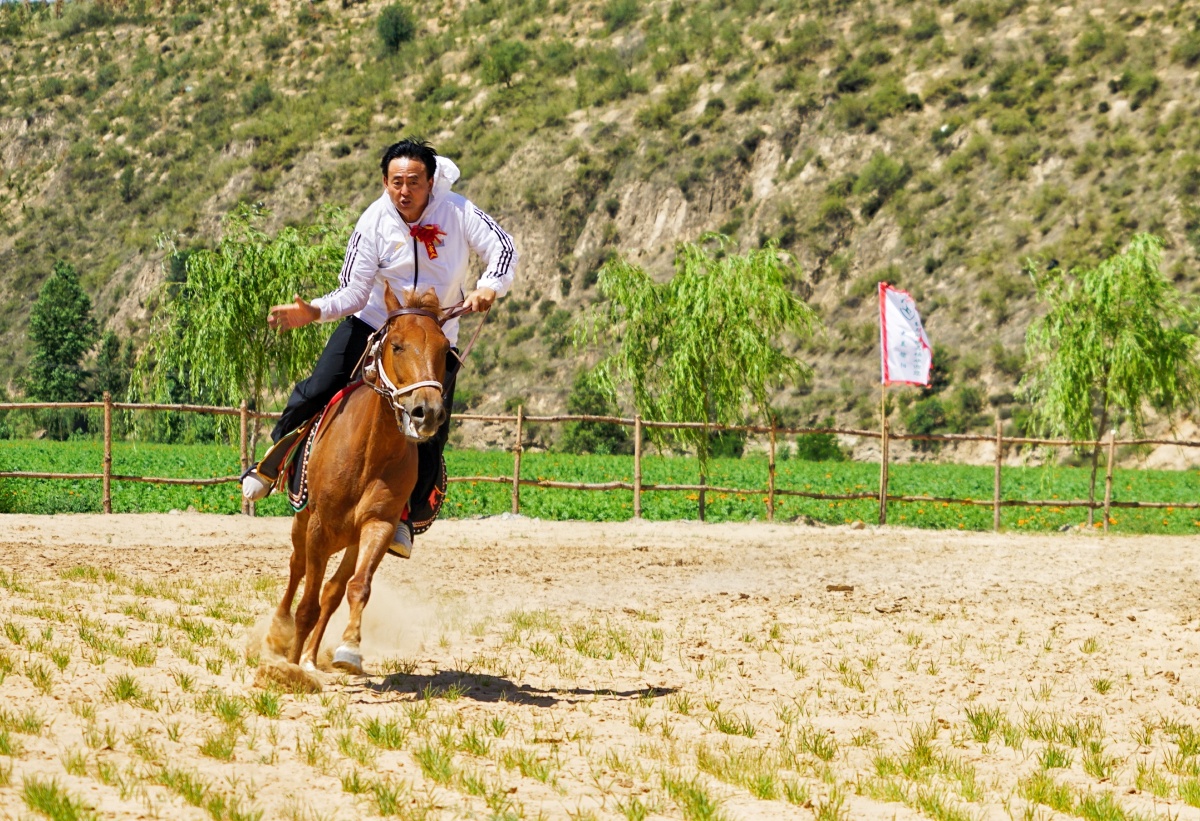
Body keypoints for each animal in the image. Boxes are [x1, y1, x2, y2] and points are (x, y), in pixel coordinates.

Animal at [258, 284, 450, 686]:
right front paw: (290, 665)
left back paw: (312, 656)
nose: (427, 411)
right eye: (397, 345)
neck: (369, 452)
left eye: (445, 351)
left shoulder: (379, 524)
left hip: (349, 539)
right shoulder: (318, 526)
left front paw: (347, 650)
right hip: (305, 524)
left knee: (333, 590)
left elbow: (355, 588)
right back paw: (280, 634)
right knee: (297, 569)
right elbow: (307, 604)